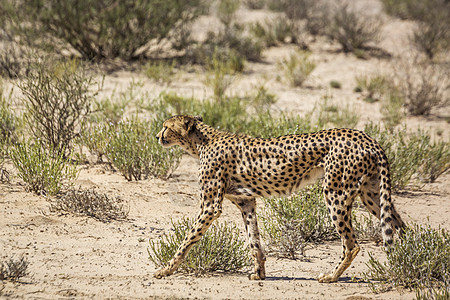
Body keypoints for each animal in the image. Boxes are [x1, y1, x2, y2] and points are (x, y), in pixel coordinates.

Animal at [154, 115, 404, 284]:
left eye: (166, 126)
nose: (157, 136)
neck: (201, 142)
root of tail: (367, 137)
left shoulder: (210, 207)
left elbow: (188, 239)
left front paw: (165, 269)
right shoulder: (246, 202)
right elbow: (254, 240)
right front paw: (259, 273)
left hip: (336, 193)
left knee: (351, 245)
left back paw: (331, 276)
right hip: (371, 194)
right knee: (401, 228)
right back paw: (408, 260)